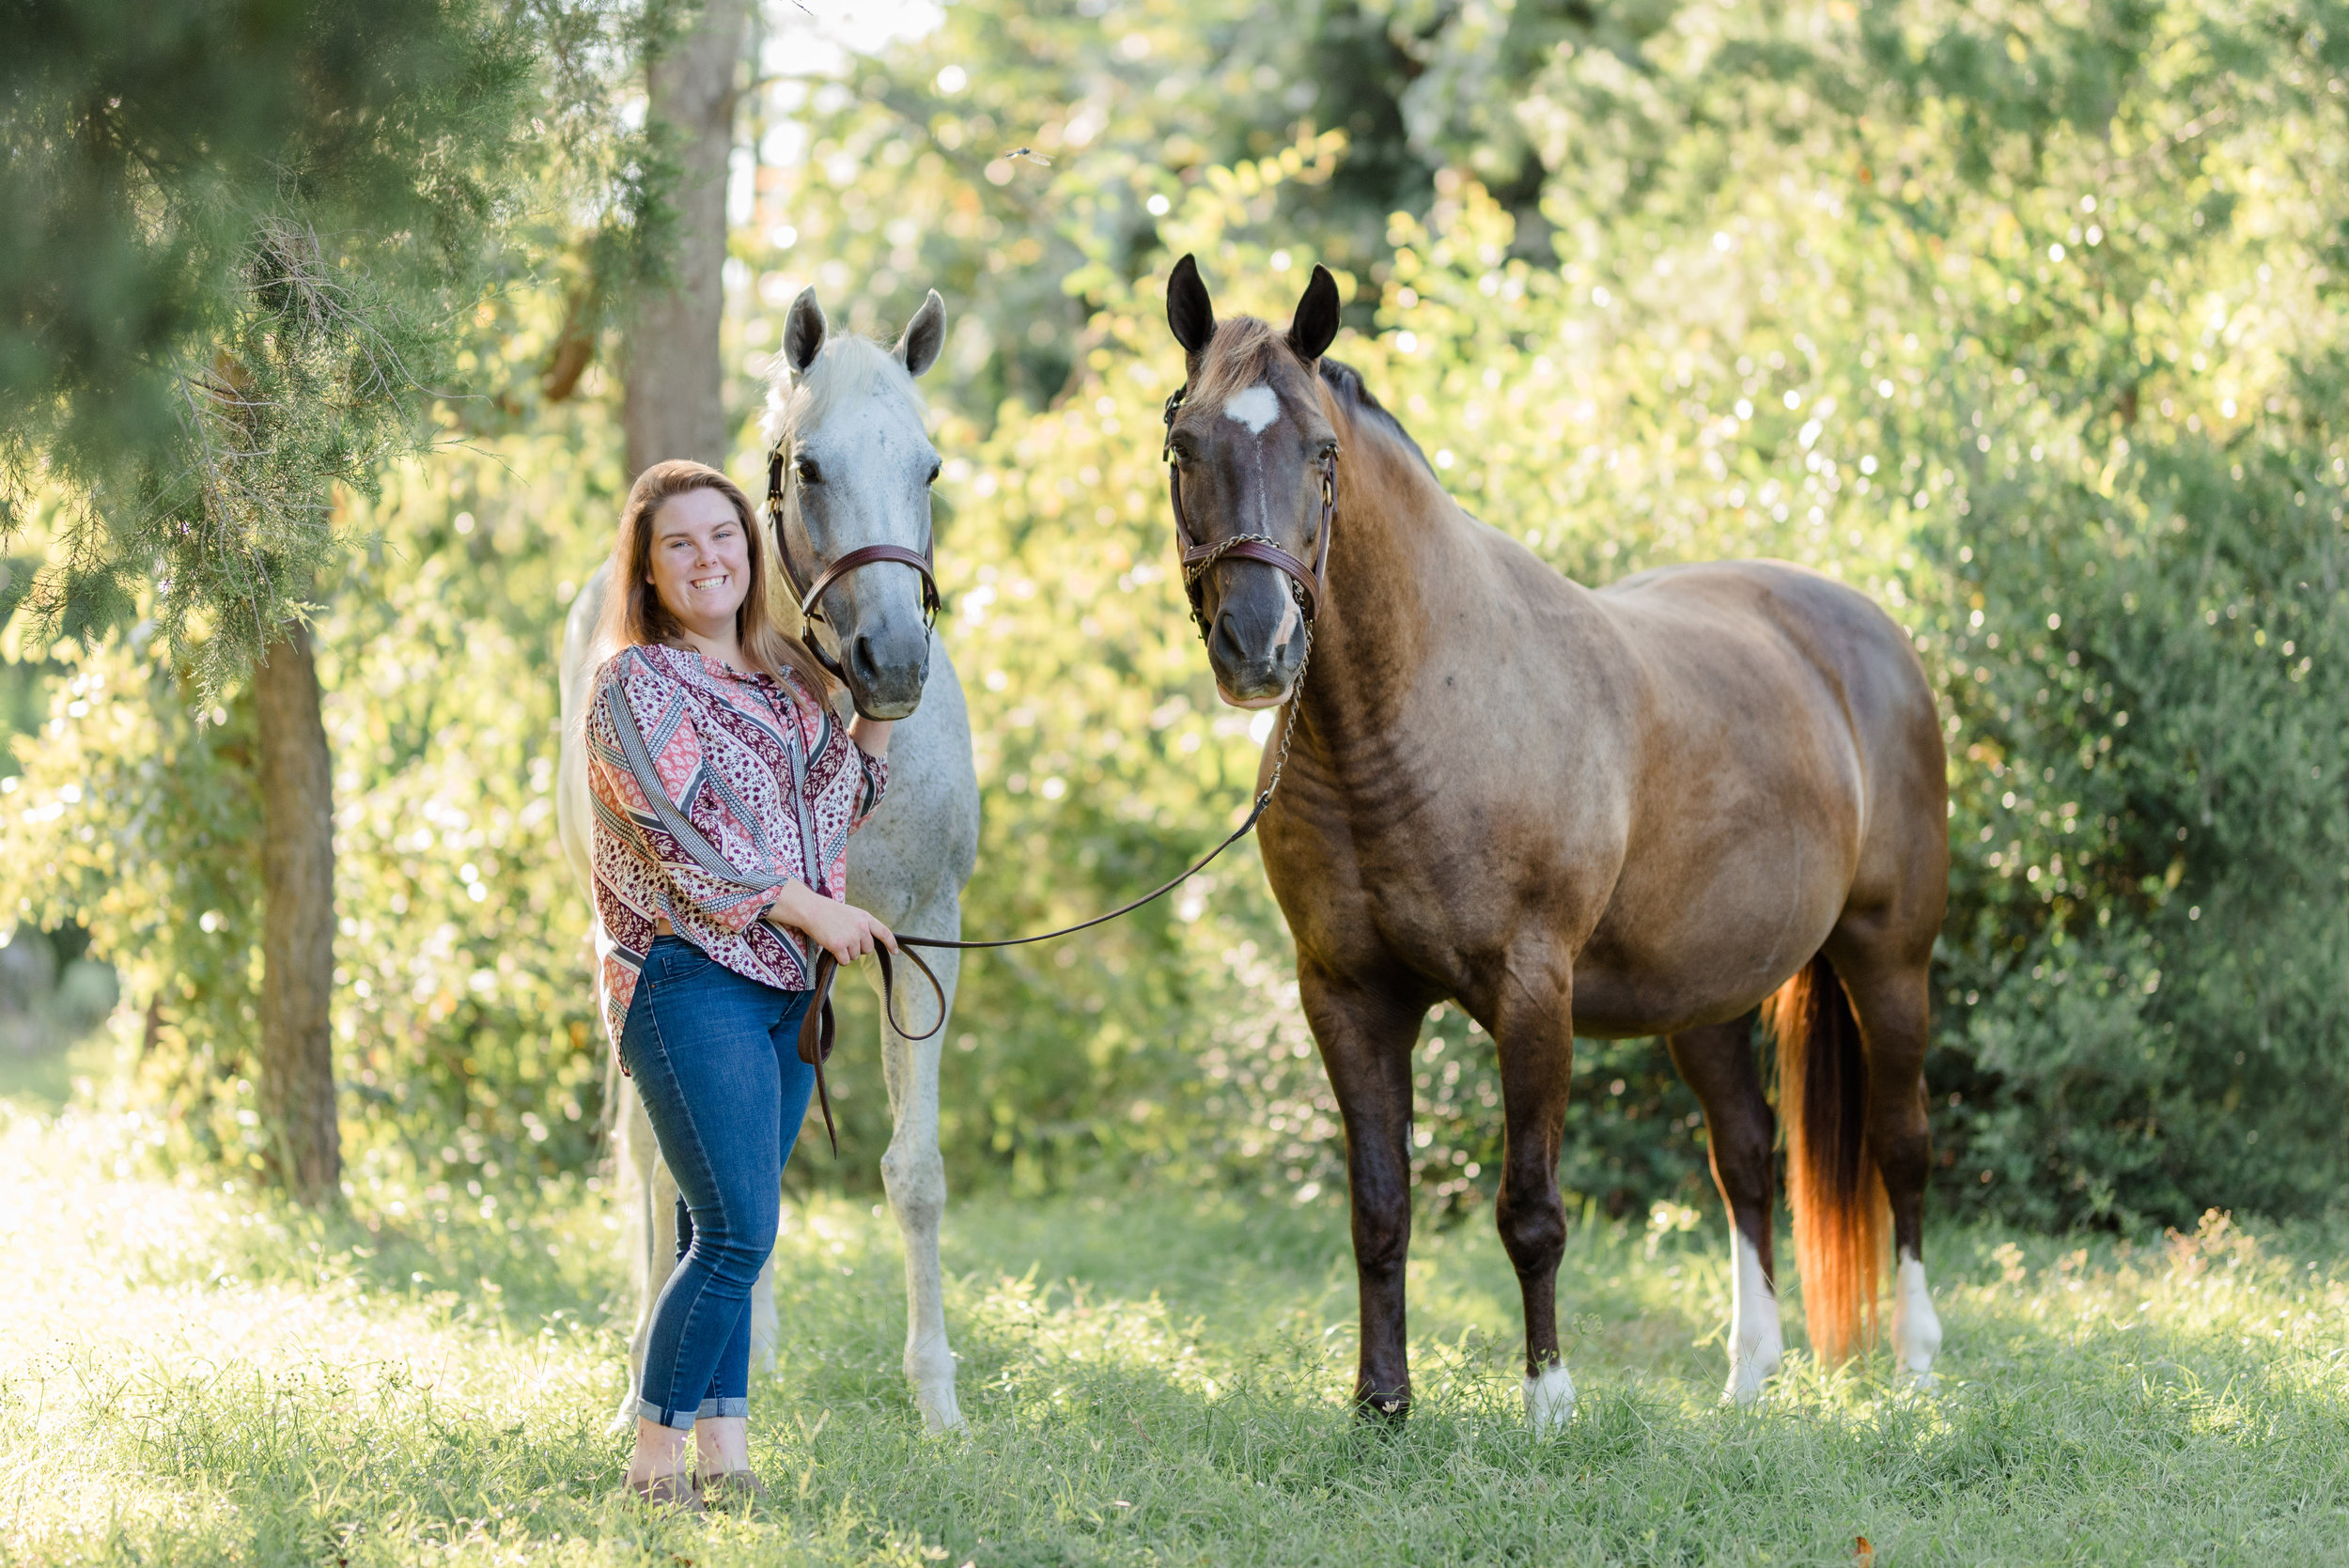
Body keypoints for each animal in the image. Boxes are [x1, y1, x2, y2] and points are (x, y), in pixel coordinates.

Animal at [557, 286, 979, 1435]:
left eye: (929, 467)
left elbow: (916, 1172)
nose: (895, 663)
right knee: (662, 1160)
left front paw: (935, 1398)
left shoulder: (926, 934)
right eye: (811, 465)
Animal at [1158, 255, 1949, 1425]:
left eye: (1321, 453)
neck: (1409, 715)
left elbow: (1529, 1208)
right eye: (1184, 445)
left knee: (1902, 1144)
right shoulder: (1347, 998)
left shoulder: (1532, 993)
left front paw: (1548, 1402)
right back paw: (1749, 1376)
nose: (1258, 645)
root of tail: (1870, 633)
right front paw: (1381, 1403)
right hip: (1704, 996)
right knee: (1745, 1155)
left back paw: (1918, 1360)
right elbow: (1378, 1207)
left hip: (1887, 959)